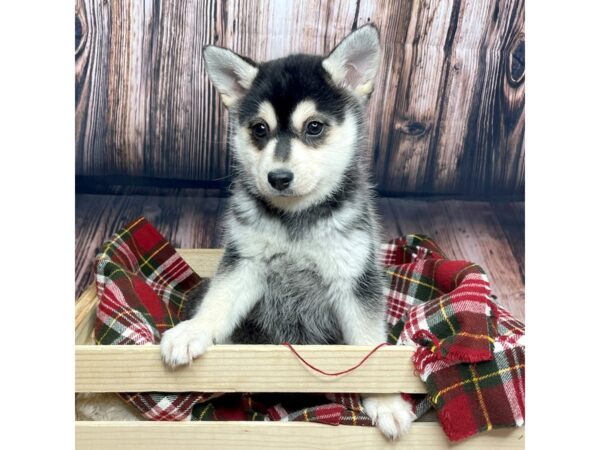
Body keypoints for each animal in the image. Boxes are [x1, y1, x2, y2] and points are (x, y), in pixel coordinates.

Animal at [162, 24, 420, 440]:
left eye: (314, 126)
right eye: (259, 129)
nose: (278, 177)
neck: (295, 220)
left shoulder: (354, 277)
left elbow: (368, 346)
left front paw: (386, 402)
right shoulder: (245, 261)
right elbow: (219, 301)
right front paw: (194, 330)